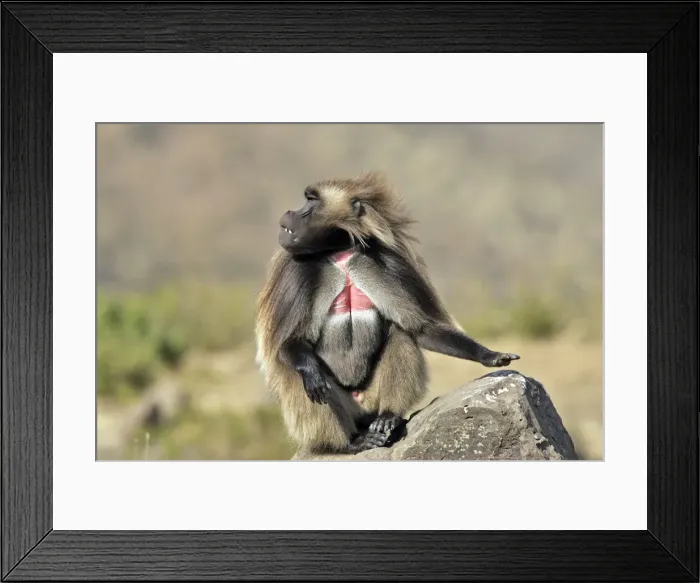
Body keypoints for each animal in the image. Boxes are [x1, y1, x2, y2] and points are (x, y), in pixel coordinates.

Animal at [255, 171, 520, 454]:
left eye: (311, 200)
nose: (290, 212)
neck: (340, 254)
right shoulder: (297, 273)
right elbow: (289, 344)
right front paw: (311, 373)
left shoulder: (388, 263)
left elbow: (421, 329)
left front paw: (490, 355)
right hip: (346, 410)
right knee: (299, 376)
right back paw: (350, 442)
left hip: (372, 400)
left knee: (401, 334)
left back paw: (388, 418)